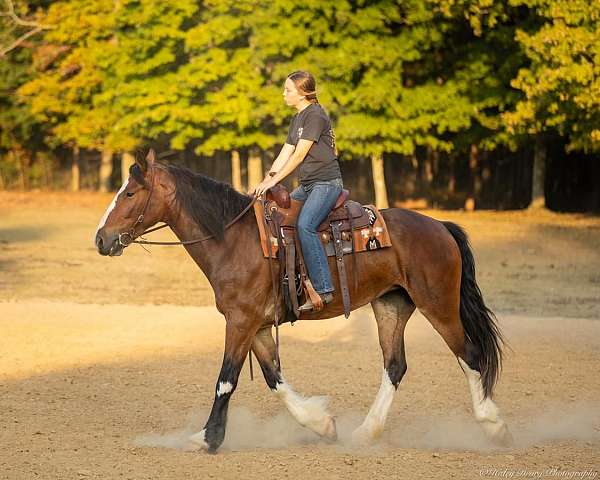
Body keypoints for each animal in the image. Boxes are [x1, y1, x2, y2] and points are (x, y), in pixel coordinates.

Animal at [94, 151, 510, 454]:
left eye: (129, 193)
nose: (100, 238)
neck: (234, 239)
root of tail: (441, 227)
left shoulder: (240, 322)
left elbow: (226, 379)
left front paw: (207, 438)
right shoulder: (257, 325)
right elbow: (273, 378)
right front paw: (321, 423)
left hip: (438, 305)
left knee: (470, 355)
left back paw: (493, 425)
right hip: (390, 306)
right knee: (395, 366)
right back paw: (365, 432)